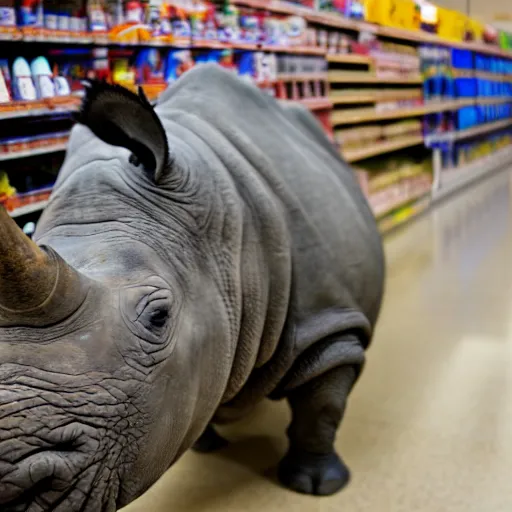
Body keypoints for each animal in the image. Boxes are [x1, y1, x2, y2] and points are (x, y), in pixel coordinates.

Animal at [0, 65, 384, 512]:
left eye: (158, 317)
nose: (12, 490)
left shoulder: (329, 325)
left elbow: (322, 408)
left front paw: (317, 485)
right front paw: (206, 446)